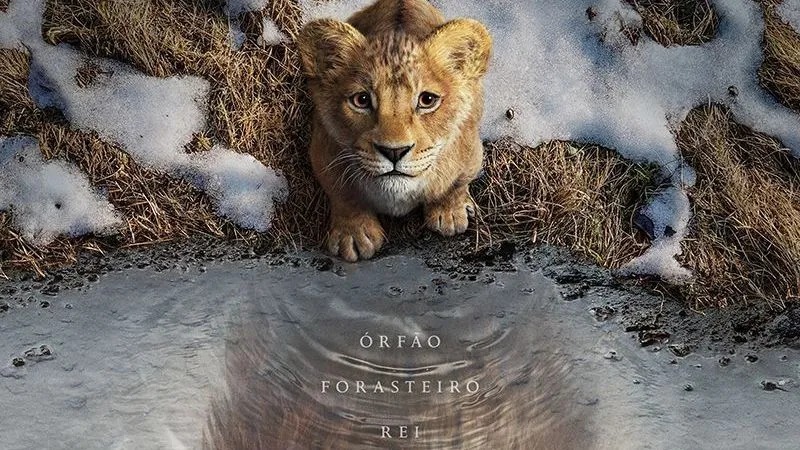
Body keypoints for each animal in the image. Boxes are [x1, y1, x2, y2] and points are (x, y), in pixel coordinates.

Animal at [298, 0, 492, 262]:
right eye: (361, 100)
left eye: (427, 100)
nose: (394, 152)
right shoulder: (322, 150)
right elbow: (343, 193)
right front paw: (354, 234)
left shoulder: (471, 152)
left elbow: (456, 183)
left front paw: (450, 213)